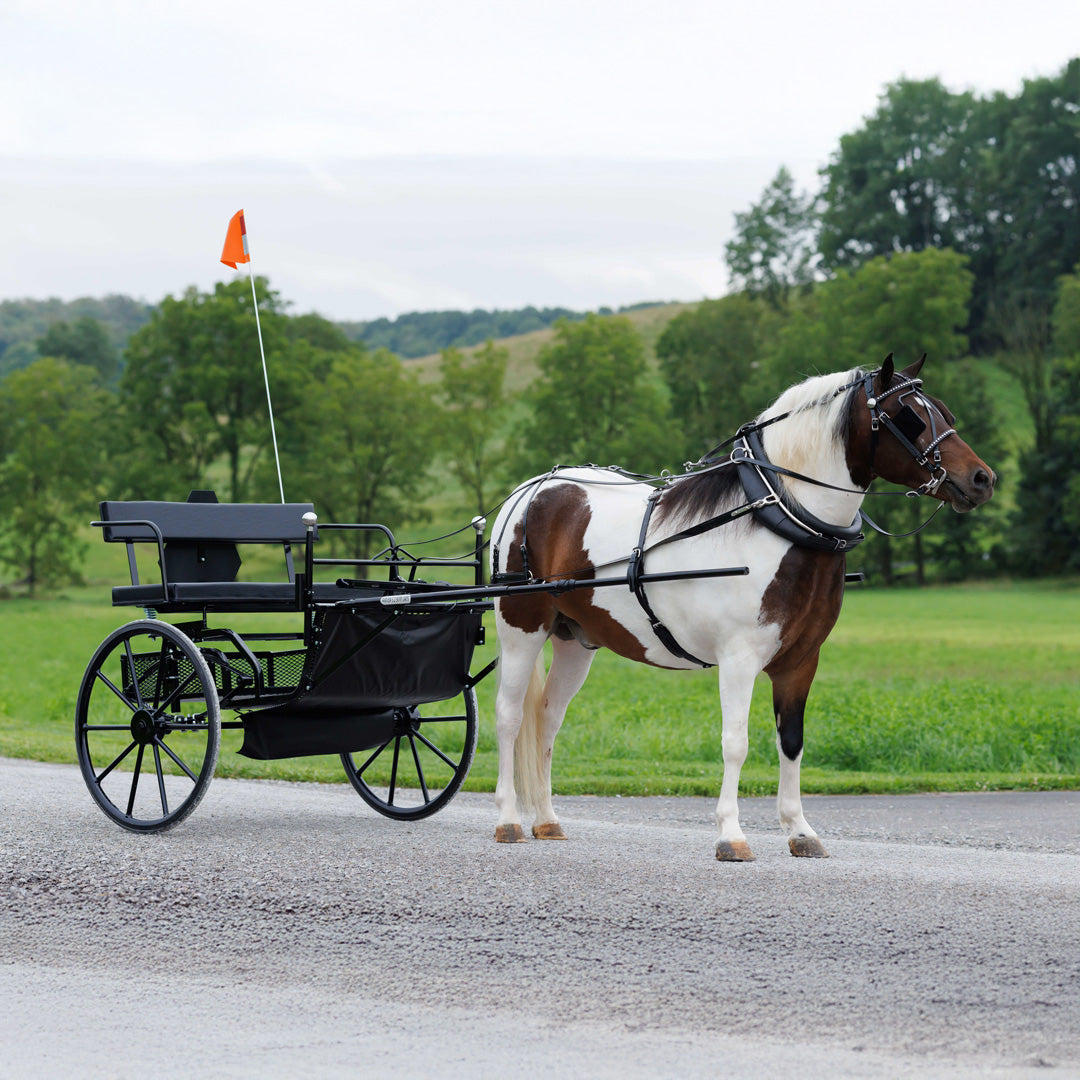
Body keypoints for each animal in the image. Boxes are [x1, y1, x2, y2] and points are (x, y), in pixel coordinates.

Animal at [490, 354, 993, 859]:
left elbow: (792, 741)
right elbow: (736, 742)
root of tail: (531, 491)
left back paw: (548, 820)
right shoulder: (738, 658)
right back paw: (509, 819)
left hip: (575, 640)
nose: (983, 479)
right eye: (909, 417)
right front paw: (731, 834)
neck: (779, 519)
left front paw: (800, 830)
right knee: (510, 717)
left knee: (548, 718)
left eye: (945, 412)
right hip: (521, 630)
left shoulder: (800, 662)